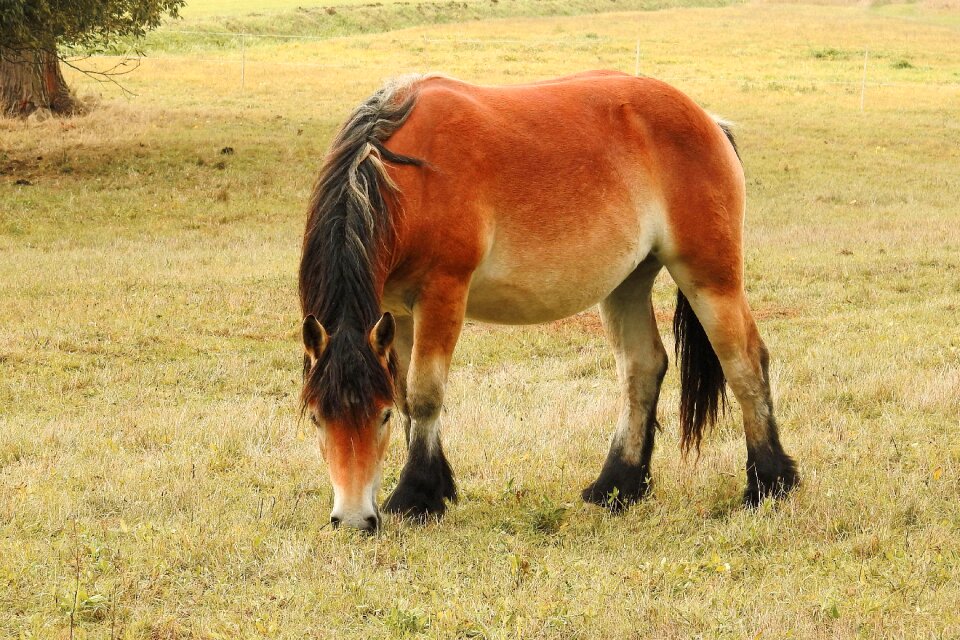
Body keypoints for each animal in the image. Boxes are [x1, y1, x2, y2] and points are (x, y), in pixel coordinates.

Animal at [298, 70, 796, 532]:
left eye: (379, 418)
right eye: (318, 418)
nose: (353, 520)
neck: (409, 177)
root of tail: (707, 120)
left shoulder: (442, 295)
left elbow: (423, 395)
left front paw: (416, 496)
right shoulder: (396, 312)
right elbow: (405, 392)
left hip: (710, 278)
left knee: (745, 362)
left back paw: (769, 483)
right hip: (627, 283)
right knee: (642, 368)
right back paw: (618, 486)